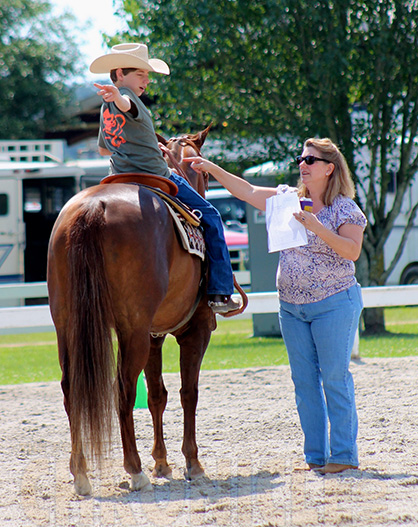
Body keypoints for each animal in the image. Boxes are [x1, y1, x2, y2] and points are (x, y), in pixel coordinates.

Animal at [47, 127, 227, 496]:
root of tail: (93, 208)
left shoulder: (154, 336)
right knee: (123, 390)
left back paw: (81, 472)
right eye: (203, 174)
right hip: (132, 331)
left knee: (71, 389)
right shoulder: (195, 331)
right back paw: (134, 470)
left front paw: (162, 462)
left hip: (68, 326)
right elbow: (189, 393)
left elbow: (158, 394)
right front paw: (192, 464)